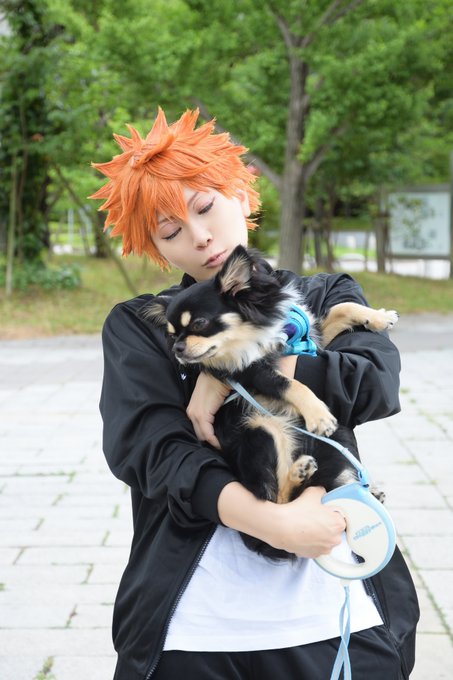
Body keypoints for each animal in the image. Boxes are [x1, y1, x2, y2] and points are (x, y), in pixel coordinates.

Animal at [144, 246, 398, 558]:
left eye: (199, 324)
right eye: (171, 334)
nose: (178, 348)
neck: (256, 332)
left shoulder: (311, 341)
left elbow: (341, 309)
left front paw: (379, 316)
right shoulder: (253, 372)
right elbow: (292, 385)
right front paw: (318, 415)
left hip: (341, 436)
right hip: (264, 432)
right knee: (279, 504)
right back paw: (300, 473)